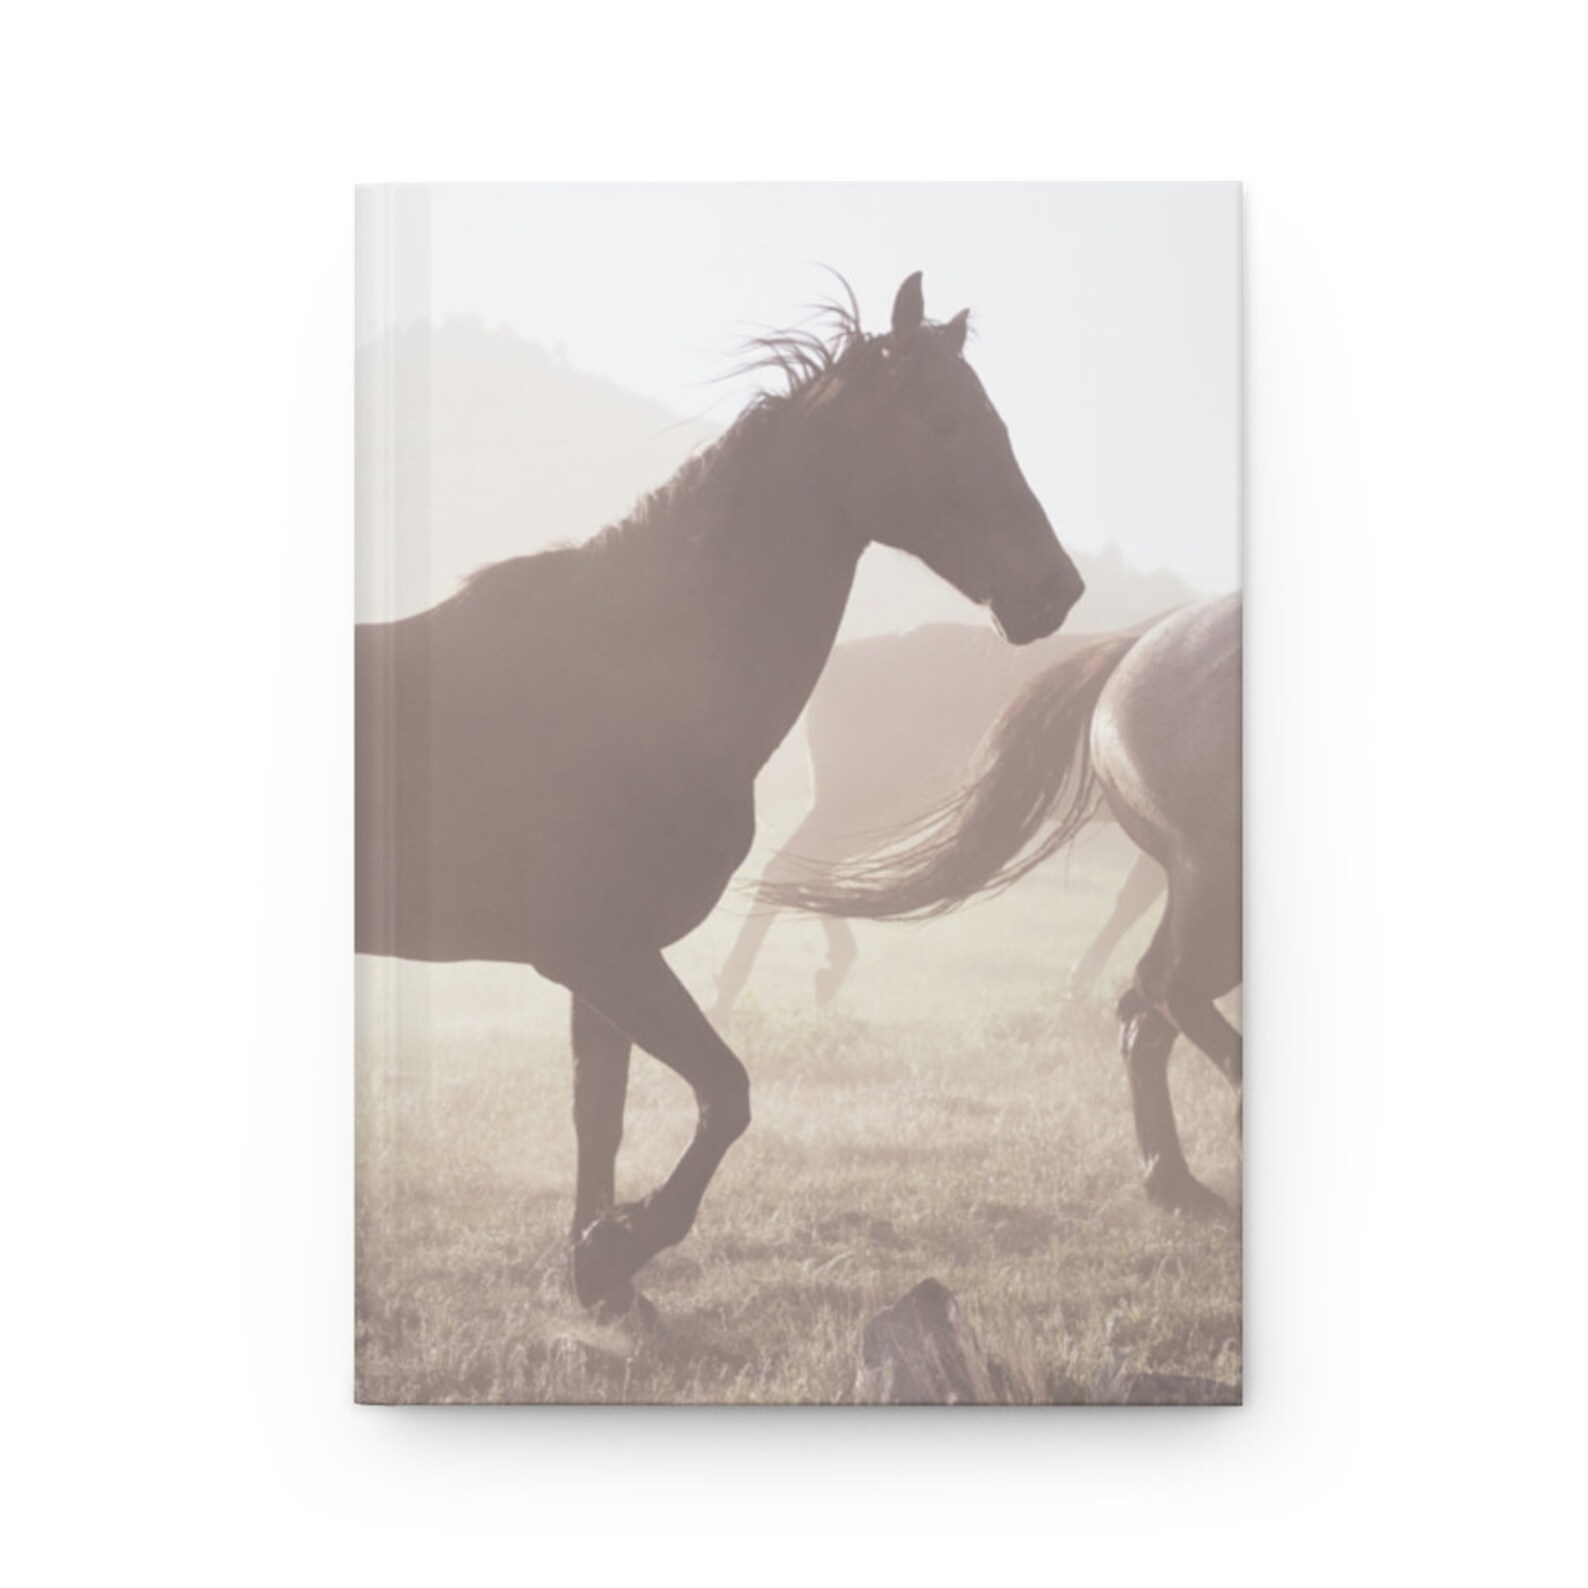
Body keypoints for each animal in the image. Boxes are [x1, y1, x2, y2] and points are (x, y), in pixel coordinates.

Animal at [355, 273, 1087, 1312]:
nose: (1055, 590)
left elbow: (603, 1116)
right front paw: (622, 1246)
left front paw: (601, 1272)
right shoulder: (600, 953)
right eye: (946, 423)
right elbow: (726, 1095)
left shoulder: (602, 967)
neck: (634, 682)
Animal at [709, 621, 1167, 1022]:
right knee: (790, 865)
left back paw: (826, 970)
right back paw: (729, 993)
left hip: (883, 806)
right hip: (866, 799)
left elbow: (1135, 897)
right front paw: (1081, 987)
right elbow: (1135, 899)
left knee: (810, 867)